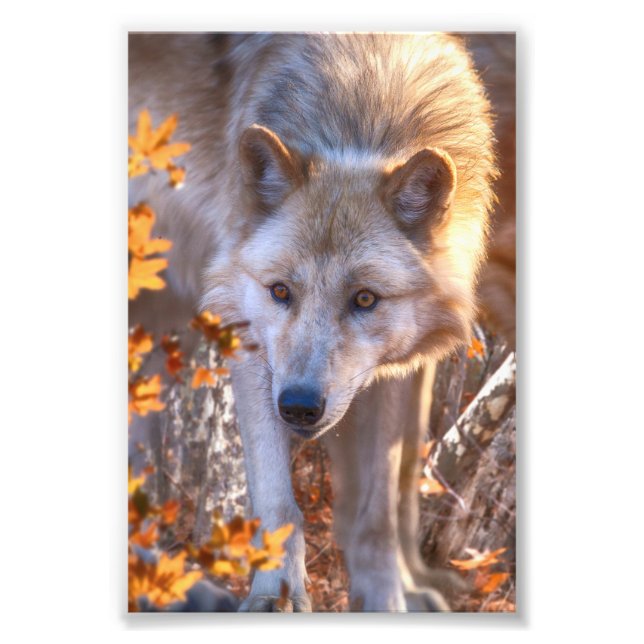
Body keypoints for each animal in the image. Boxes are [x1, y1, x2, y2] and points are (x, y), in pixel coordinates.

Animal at [129, 33, 497, 611]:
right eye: (280, 291)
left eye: (364, 299)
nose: (299, 406)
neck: (363, 107)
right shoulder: (251, 343)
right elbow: (280, 504)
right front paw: (274, 598)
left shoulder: (394, 374)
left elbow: (379, 506)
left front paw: (386, 599)